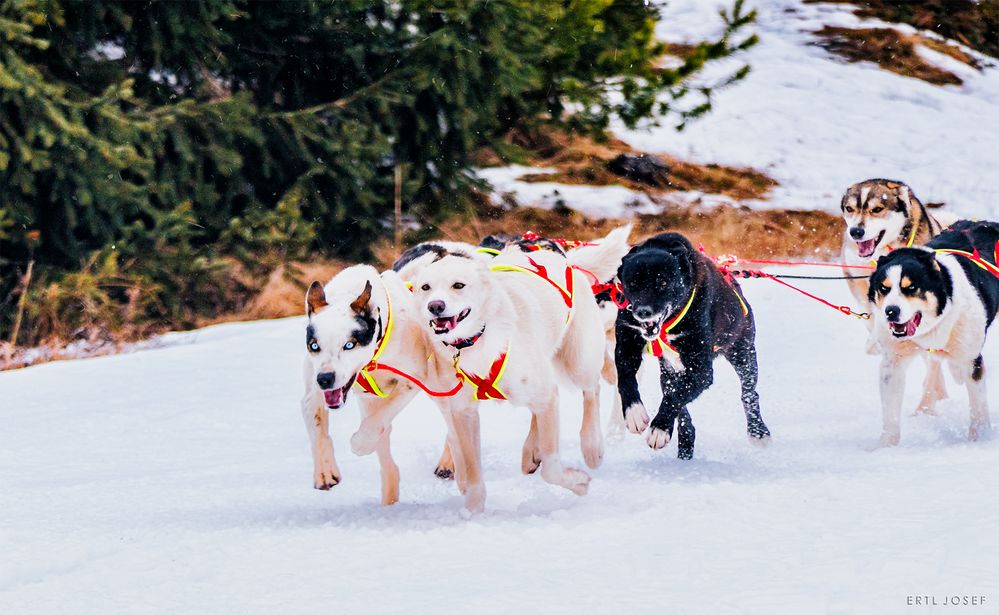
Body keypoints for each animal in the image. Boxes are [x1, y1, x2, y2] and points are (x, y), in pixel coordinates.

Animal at [608, 233, 772, 460]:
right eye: (632, 283)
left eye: (663, 282)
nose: (643, 312)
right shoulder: (627, 343)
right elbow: (625, 378)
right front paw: (634, 413)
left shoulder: (701, 369)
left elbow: (675, 396)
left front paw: (659, 428)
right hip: (669, 371)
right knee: (678, 400)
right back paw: (684, 441)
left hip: (743, 353)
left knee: (749, 392)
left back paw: (758, 431)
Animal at [868, 221, 999, 448]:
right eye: (883, 288)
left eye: (911, 287)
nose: (890, 311)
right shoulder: (893, 363)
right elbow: (891, 413)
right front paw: (887, 446)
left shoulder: (971, 361)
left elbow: (978, 408)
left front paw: (979, 439)